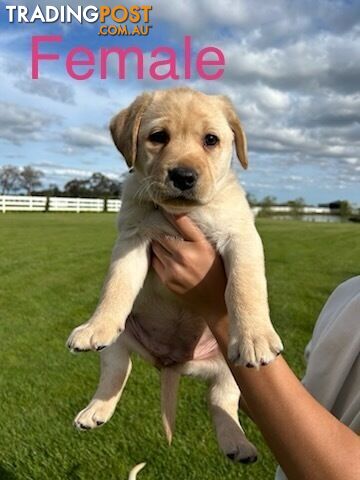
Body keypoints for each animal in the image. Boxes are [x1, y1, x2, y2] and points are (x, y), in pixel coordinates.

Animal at [66, 88, 282, 464]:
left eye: (211, 140)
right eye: (158, 137)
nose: (183, 176)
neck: (182, 214)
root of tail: (172, 363)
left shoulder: (241, 236)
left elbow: (245, 285)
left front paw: (255, 336)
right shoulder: (133, 239)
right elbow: (116, 286)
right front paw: (96, 324)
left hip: (228, 366)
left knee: (221, 398)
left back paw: (238, 443)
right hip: (122, 341)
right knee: (118, 369)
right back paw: (95, 410)